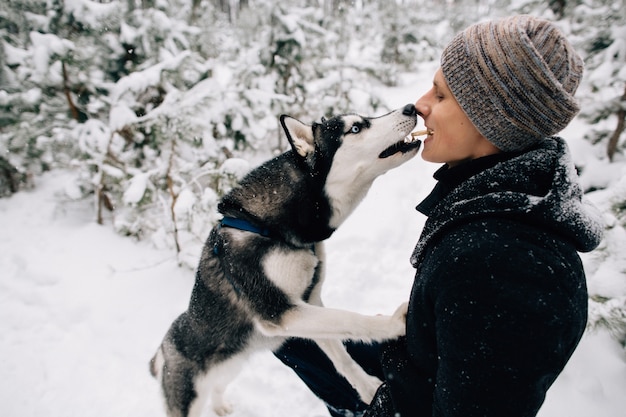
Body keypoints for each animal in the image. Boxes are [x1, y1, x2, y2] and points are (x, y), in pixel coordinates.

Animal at [150, 102, 420, 414]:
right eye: (355, 128)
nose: (411, 107)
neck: (272, 228)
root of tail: (162, 349)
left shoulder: (309, 302)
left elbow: (340, 354)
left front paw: (367, 388)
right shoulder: (280, 311)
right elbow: (349, 318)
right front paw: (392, 324)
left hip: (231, 366)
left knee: (217, 386)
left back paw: (221, 407)